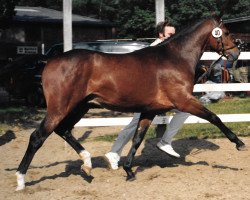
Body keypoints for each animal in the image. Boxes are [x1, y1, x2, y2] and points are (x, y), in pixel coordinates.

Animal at [16, 16, 246, 191]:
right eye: (226, 32)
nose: (236, 52)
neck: (174, 58)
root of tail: (50, 63)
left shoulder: (149, 111)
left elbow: (137, 138)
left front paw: (129, 170)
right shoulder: (184, 102)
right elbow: (214, 117)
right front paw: (239, 143)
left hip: (80, 107)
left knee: (63, 130)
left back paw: (88, 164)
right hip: (60, 108)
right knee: (37, 137)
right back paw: (20, 180)